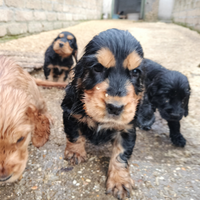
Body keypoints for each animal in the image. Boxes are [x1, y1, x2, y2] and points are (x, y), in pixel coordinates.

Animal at [61, 28, 145, 199]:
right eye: (98, 68)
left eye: (135, 72)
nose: (115, 107)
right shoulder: (70, 114)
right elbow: (74, 134)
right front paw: (75, 153)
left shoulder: (127, 129)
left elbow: (121, 154)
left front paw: (119, 181)